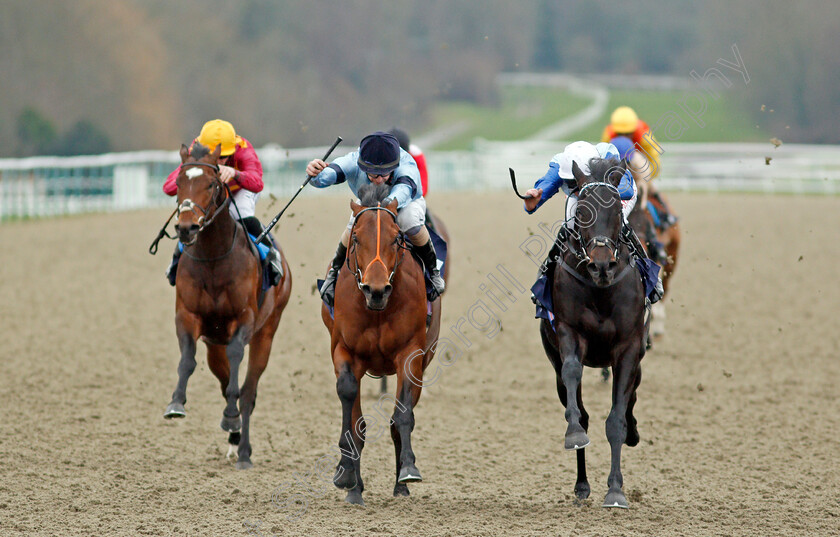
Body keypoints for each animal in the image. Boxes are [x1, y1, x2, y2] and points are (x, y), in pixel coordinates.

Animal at [161, 141, 292, 468]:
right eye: (178, 183)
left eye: (211, 183)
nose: (186, 228)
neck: (213, 259)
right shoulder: (187, 315)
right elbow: (187, 359)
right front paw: (176, 403)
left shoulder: (244, 318)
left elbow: (237, 368)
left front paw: (232, 419)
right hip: (213, 343)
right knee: (223, 381)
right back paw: (234, 439)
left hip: (266, 333)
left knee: (248, 391)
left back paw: (243, 449)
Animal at [322, 182, 442, 504]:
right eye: (356, 239)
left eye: (396, 239)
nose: (376, 290)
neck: (376, 309)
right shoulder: (344, 351)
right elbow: (352, 411)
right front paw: (347, 476)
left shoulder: (411, 354)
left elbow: (402, 415)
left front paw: (408, 469)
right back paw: (354, 487)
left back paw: (401, 485)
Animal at [540, 156, 648, 506]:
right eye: (582, 211)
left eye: (616, 209)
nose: (602, 266)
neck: (600, 290)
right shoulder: (568, 333)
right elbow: (573, 375)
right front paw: (574, 434)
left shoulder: (628, 348)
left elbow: (616, 419)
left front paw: (615, 489)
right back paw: (582, 484)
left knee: (631, 398)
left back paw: (633, 432)